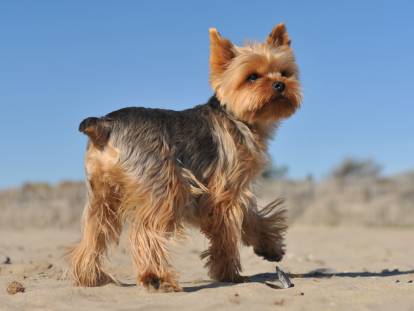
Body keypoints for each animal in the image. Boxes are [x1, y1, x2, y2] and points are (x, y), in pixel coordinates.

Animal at [70, 22, 300, 292]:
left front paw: (269, 247)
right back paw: (156, 277)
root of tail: (106, 124)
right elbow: (233, 228)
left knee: (94, 232)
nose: (280, 85)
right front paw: (231, 272)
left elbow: (250, 218)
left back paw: (90, 277)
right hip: (166, 187)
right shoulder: (226, 191)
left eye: (284, 73)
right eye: (252, 77)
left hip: (102, 194)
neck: (238, 117)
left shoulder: (225, 192)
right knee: (144, 232)